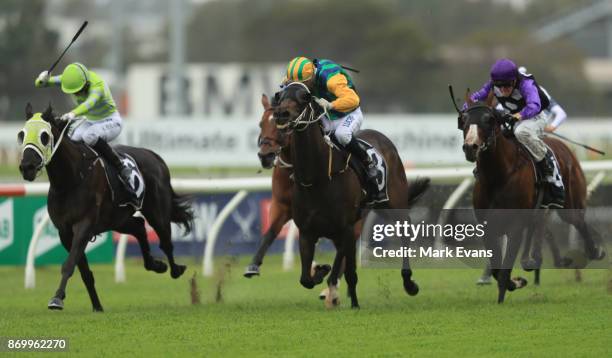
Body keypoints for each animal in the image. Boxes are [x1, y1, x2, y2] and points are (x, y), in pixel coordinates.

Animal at [17, 103, 194, 310]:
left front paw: (57, 298)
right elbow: (84, 271)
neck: (71, 179)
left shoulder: (83, 226)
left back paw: (175, 268)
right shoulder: (65, 231)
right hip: (117, 219)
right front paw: (97, 306)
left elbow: (69, 264)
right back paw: (155, 264)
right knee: (139, 226)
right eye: (22, 134)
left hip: (156, 211)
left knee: (165, 240)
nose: (27, 167)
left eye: (44, 135)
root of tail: (155, 156)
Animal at [274, 83, 430, 308]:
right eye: (279, 96)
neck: (318, 177)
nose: (281, 114)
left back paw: (409, 283)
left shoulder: (346, 227)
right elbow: (305, 279)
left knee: (405, 235)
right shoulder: (307, 232)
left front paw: (352, 303)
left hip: (394, 205)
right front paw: (321, 271)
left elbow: (348, 272)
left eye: (304, 97)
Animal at [460, 94, 608, 302]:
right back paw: (537, 260)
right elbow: (497, 268)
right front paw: (514, 282)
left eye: (489, 119)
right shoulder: (487, 226)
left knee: (578, 222)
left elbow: (505, 268)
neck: (499, 175)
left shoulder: (515, 225)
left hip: (569, 203)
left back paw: (594, 251)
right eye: (463, 120)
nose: (470, 147)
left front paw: (507, 291)